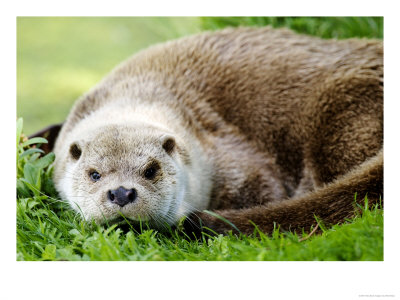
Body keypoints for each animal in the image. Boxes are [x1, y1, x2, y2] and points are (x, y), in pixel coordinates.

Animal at [46, 27, 382, 236]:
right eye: (94, 174)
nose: (121, 192)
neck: (141, 93)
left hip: (345, 109)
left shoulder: (228, 152)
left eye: (151, 170)